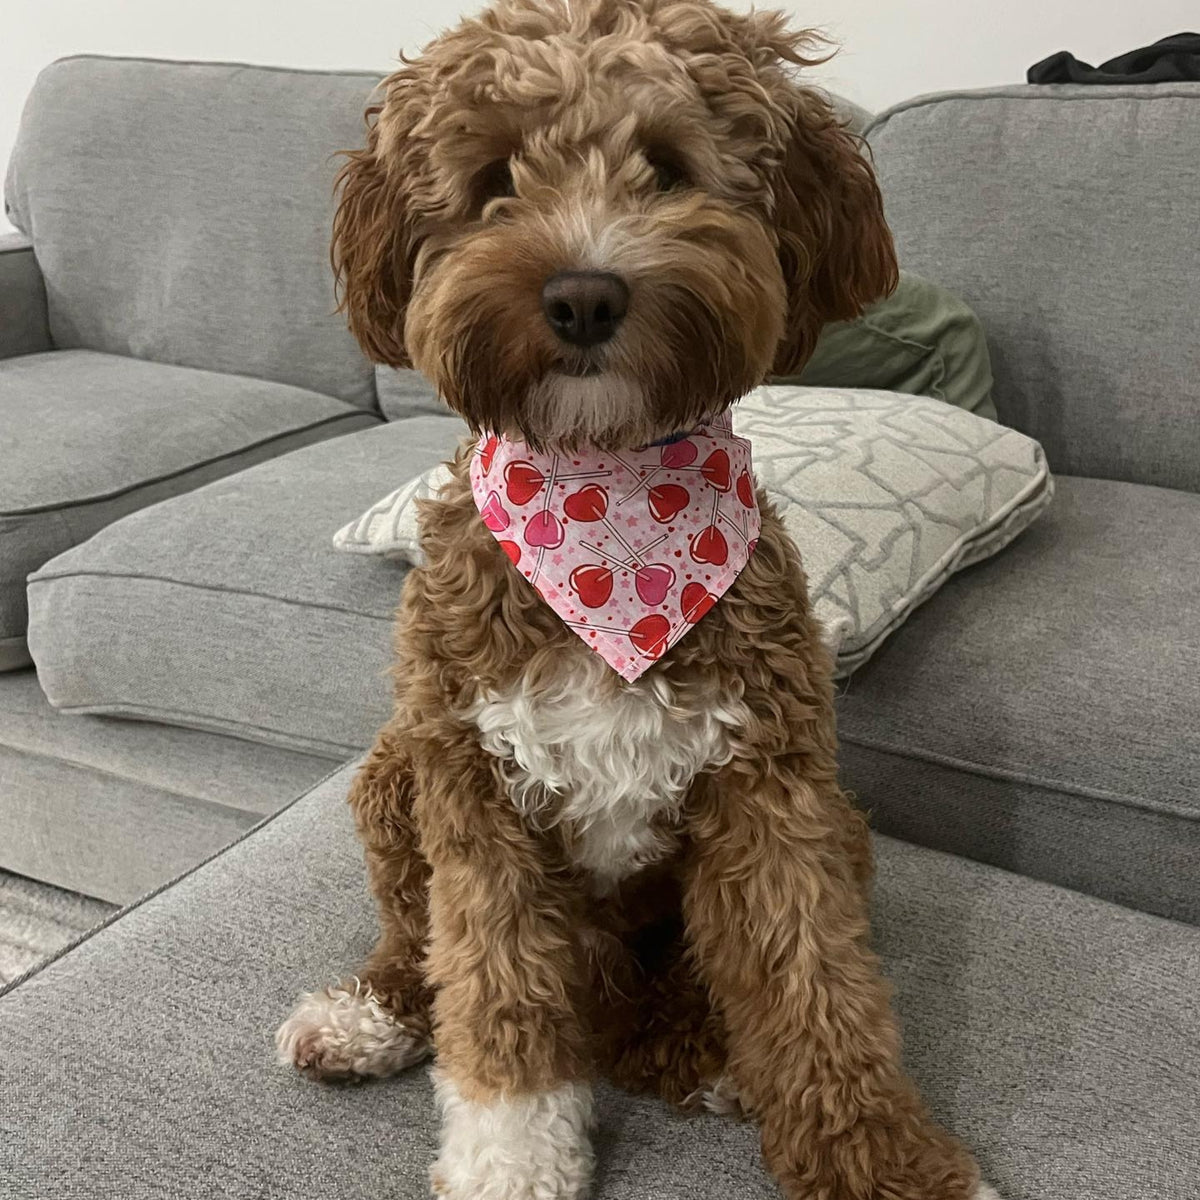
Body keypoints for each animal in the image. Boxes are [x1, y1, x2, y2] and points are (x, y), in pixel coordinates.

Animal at [276, 2, 998, 1200]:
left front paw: (884, 1160)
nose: (582, 294)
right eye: (492, 179)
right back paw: (372, 1014)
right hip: (393, 776)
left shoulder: (772, 793)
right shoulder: (476, 794)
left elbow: (816, 995)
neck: (608, 505)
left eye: (666, 165)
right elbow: (496, 995)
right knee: (419, 943)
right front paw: (512, 1156)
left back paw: (698, 1045)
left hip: (838, 826)